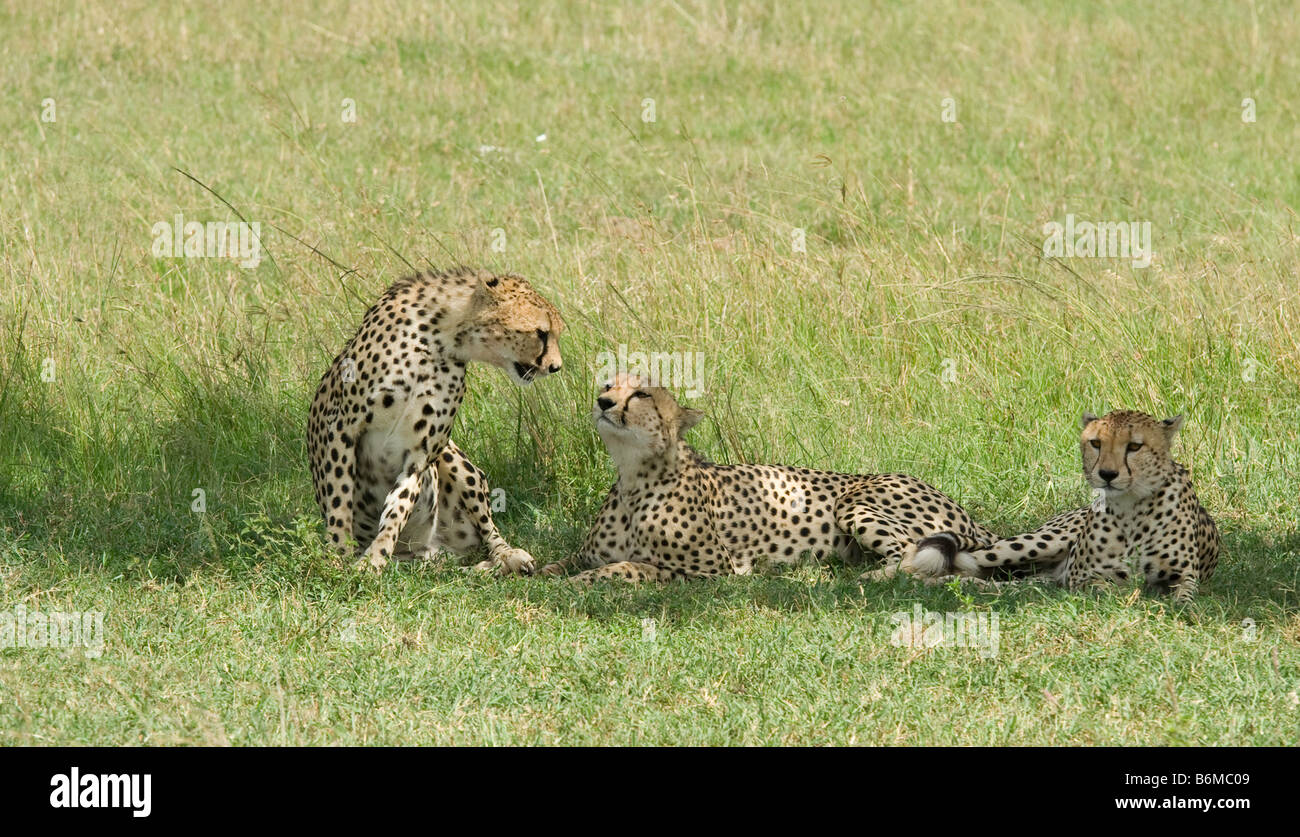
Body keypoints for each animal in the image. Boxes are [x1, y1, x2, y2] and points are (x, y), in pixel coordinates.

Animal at [307, 266, 564, 575]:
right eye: (541, 333)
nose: (556, 367)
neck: (439, 340)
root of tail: (434, 550)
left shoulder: (419, 454)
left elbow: (397, 510)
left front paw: (374, 559)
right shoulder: (341, 426)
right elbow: (339, 499)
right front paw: (339, 555)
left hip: (453, 459)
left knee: (486, 534)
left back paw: (507, 557)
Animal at [537, 374, 996, 583]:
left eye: (641, 394)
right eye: (608, 383)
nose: (602, 401)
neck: (635, 477)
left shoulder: (711, 570)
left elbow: (631, 566)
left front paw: (581, 583)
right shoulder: (587, 552)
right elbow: (560, 562)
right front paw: (529, 571)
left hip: (855, 501)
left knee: (913, 557)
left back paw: (864, 578)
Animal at [908, 410, 1220, 602]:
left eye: (1134, 446)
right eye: (1096, 443)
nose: (1107, 474)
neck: (1131, 506)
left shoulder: (1185, 578)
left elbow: (1182, 599)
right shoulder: (1083, 578)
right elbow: (1108, 590)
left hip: (1039, 575)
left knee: (995, 582)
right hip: (1037, 543)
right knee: (920, 564)